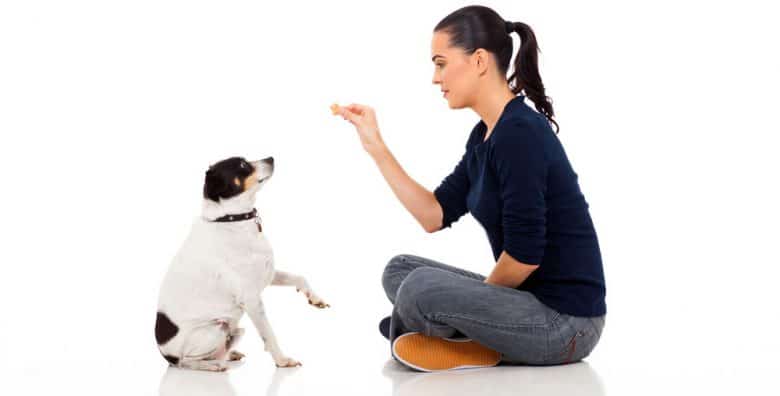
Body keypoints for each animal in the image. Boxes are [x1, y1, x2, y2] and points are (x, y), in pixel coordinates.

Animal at [155, 157, 330, 372]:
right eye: (242, 166)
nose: (271, 158)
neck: (230, 220)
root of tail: (165, 354)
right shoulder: (251, 299)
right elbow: (268, 333)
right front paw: (282, 360)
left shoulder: (267, 275)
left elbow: (299, 277)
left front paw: (315, 298)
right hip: (215, 329)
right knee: (184, 361)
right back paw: (213, 366)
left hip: (236, 330)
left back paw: (229, 355)